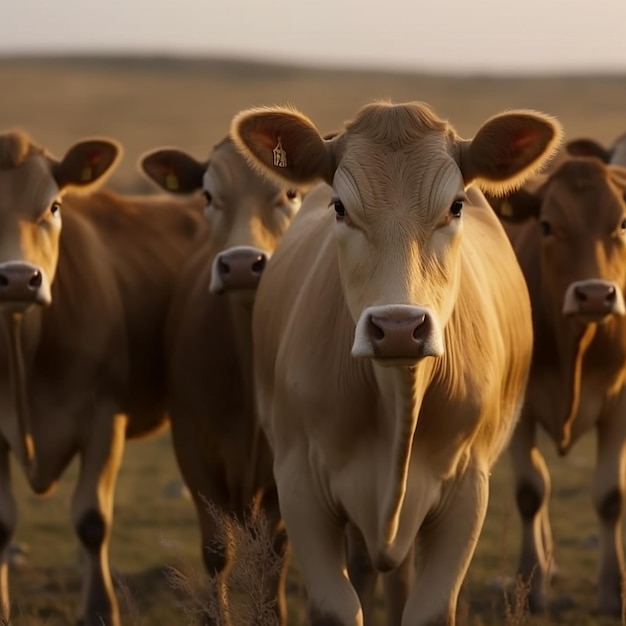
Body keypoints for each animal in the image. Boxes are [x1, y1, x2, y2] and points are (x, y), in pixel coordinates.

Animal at [139, 138, 304, 624]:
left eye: (289, 193)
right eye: (209, 195)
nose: (242, 265)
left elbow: (275, 554)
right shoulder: (192, 449)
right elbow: (217, 550)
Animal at [229, 102, 560, 624]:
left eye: (456, 206)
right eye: (340, 207)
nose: (399, 326)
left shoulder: (468, 488)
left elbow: (427, 608)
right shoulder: (299, 483)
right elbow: (338, 606)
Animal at [490, 156, 626, 616]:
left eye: (622, 223)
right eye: (547, 225)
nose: (596, 296)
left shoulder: (618, 403)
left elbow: (610, 496)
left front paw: (612, 592)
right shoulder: (520, 408)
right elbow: (531, 492)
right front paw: (531, 589)